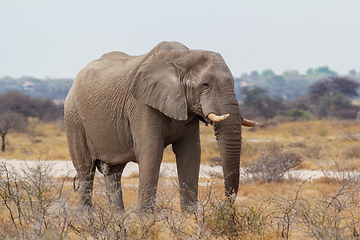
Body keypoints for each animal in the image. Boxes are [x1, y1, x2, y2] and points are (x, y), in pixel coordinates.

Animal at [64, 41, 256, 212]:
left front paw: (189, 216)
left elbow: (191, 153)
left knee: (113, 172)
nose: (226, 206)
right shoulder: (141, 104)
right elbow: (152, 151)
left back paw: (118, 217)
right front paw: (145, 218)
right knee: (86, 170)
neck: (183, 56)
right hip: (74, 118)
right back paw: (86, 217)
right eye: (205, 85)